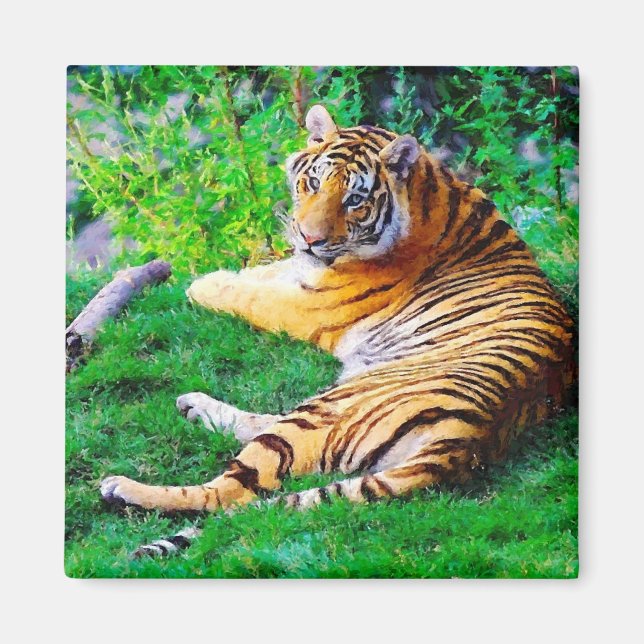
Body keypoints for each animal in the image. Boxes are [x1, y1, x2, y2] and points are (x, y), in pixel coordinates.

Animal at [100, 104, 574, 557]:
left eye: (355, 200)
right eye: (312, 182)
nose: (309, 239)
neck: (428, 192)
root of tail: (469, 439)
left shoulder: (309, 306)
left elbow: (250, 296)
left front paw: (201, 283)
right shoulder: (303, 273)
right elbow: (264, 273)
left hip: (326, 410)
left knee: (229, 493)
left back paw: (122, 488)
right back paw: (193, 406)